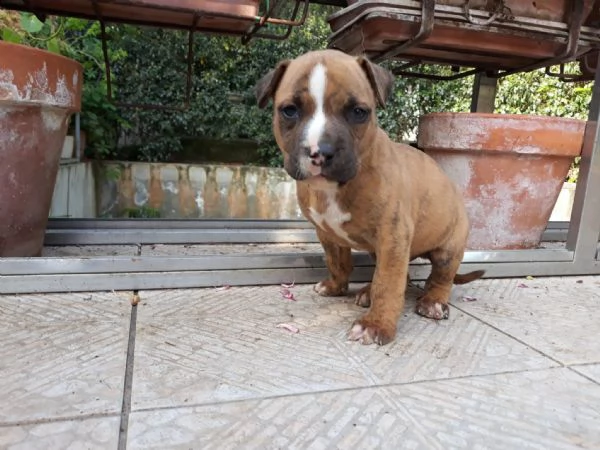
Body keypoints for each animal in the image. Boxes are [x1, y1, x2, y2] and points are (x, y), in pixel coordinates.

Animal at [254, 49, 482, 344]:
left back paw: (432, 301)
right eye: (290, 110)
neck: (336, 187)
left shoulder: (392, 235)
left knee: (440, 278)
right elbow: (337, 262)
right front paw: (336, 286)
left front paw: (376, 324)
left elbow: (389, 282)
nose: (320, 152)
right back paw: (366, 292)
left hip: (448, 247)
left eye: (358, 112)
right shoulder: (327, 234)